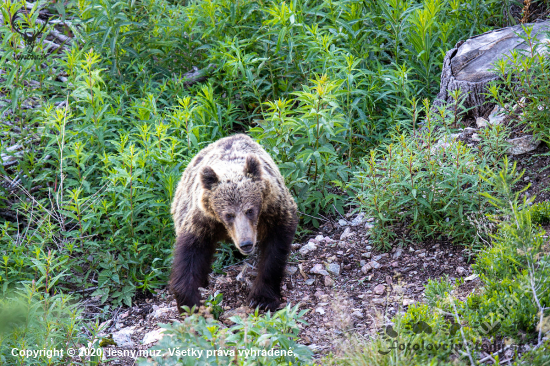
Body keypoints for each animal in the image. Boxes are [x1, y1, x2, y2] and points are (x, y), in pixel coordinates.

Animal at [171, 133, 298, 314]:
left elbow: (274, 252)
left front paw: (262, 298)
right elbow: (189, 255)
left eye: (250, 210)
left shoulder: (274, 209)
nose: (246, 243)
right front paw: (189, 302)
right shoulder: (201, 221)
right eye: (228, 215)